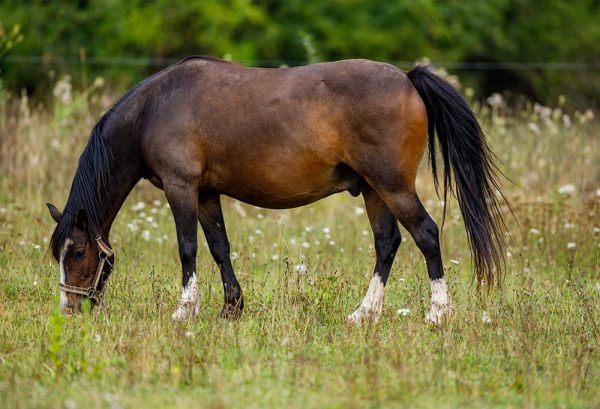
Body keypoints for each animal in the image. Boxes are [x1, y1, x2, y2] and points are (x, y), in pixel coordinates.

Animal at [48, 55, 506, 324]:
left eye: (78, 251)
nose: (69, 308)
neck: (154, 109)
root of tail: (408, 78)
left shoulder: (182, 188)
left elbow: (187, 248)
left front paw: (184, 310)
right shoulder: (207, 193)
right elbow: (219, 247)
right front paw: (231, 308)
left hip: (393, 187)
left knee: (426, 235)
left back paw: (437, 314)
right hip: (375, 191)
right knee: (387, 243)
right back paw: (363, 314)